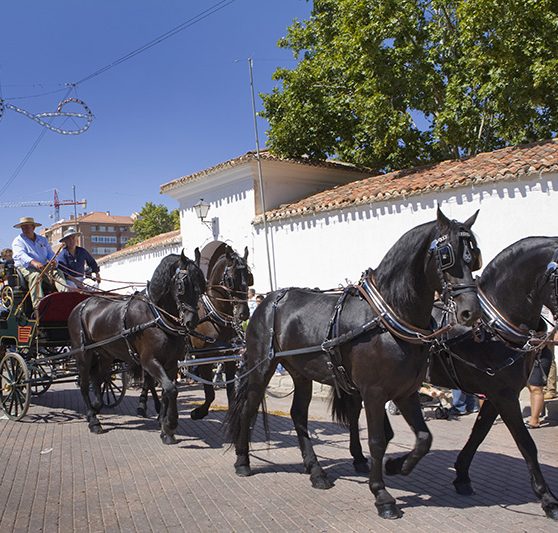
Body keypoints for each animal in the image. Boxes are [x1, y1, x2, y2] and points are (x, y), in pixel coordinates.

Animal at [68, 249, 207, 444]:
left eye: (202, 286)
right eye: (181, 286)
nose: (191, 321)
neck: (156, 317)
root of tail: (80, 305)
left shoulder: (172, 364)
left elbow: (167, 391)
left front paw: (164, 428)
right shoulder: (149, 361)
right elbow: (171, 390)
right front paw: (170, 424)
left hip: (105, 355)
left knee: (99, 378)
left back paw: (97, 406)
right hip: (83, 355)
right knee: (84, 384)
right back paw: (93, 420)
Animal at [136, 244, 252, 420]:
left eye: (250, 276)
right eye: (231, 279)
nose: (244, 313)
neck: (212, 316)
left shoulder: (229, 356)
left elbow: (231, 391)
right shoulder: (204, 356)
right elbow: (209, 392)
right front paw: (200, 411)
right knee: (148, 378)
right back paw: (143, 405)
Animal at [225, 209, 484, 520]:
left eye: (475, 256)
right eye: (447, 256)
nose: (471, 312)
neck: (388, 317)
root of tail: (268, 300)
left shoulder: (406, 391)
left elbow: (423, 438)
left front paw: (397, 465)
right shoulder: (374, 392)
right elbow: (378, 440)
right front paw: (382, 495)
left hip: (301, 373)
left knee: (298, 414)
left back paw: (316, 471)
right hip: (261, 367)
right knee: (249, 409)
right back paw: (242, 460)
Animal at [332, 237, 558, 520]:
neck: (494, 324)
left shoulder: (496, 394)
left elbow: (478, 433)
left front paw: (461, 475)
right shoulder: (504, 395)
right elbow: (526, 444)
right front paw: (548, 499)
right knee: (354, 411)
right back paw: (361, 457)